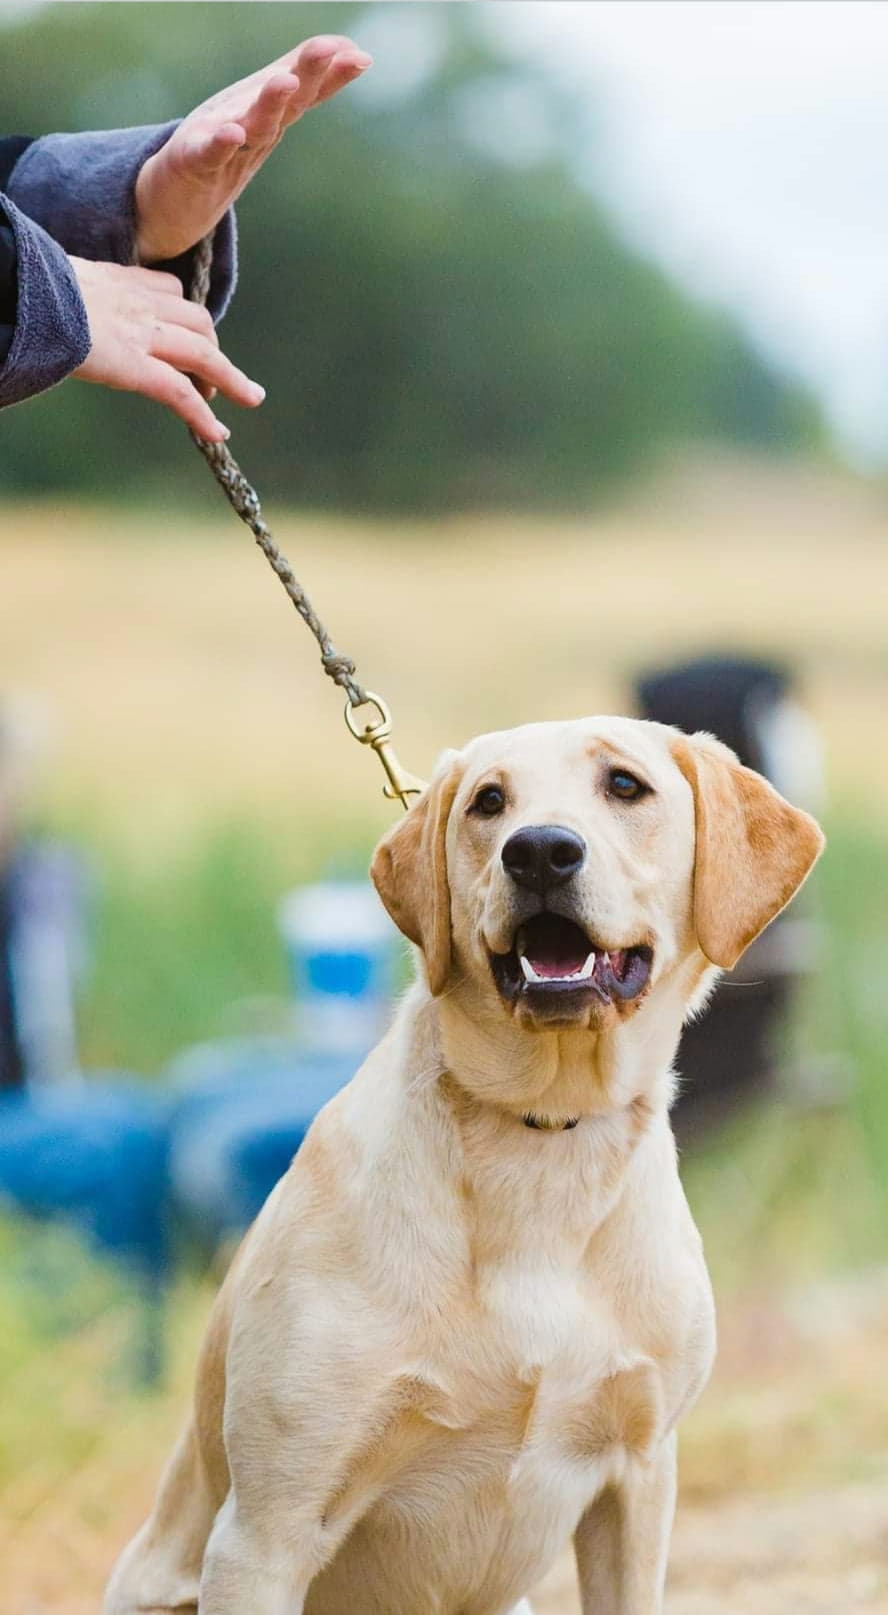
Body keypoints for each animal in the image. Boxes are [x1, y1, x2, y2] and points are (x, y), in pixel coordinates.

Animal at [106, 720, 826, 1615]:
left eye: (626, 785)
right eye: (489, 801)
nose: (541, 851)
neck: (542, 1134)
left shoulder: (640, 1475)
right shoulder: (265, 1531)